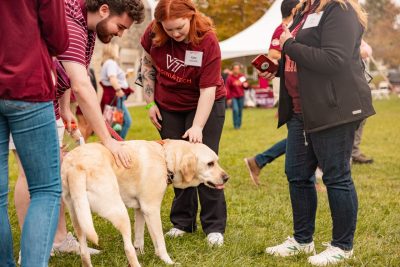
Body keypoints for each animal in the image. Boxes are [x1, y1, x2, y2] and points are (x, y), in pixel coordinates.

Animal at [60, 139, 228, 266]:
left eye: (217, 161)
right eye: (210, 163)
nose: (227, 178)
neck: (165, 158)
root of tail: (76, 166)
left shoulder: (140, 209)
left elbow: (140, 237)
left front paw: (142, 252)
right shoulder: (151, 209)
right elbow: (160, 242)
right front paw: (167, 261)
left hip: (79, 218)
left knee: (84, 252)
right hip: (119, 211)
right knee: (127, 248)